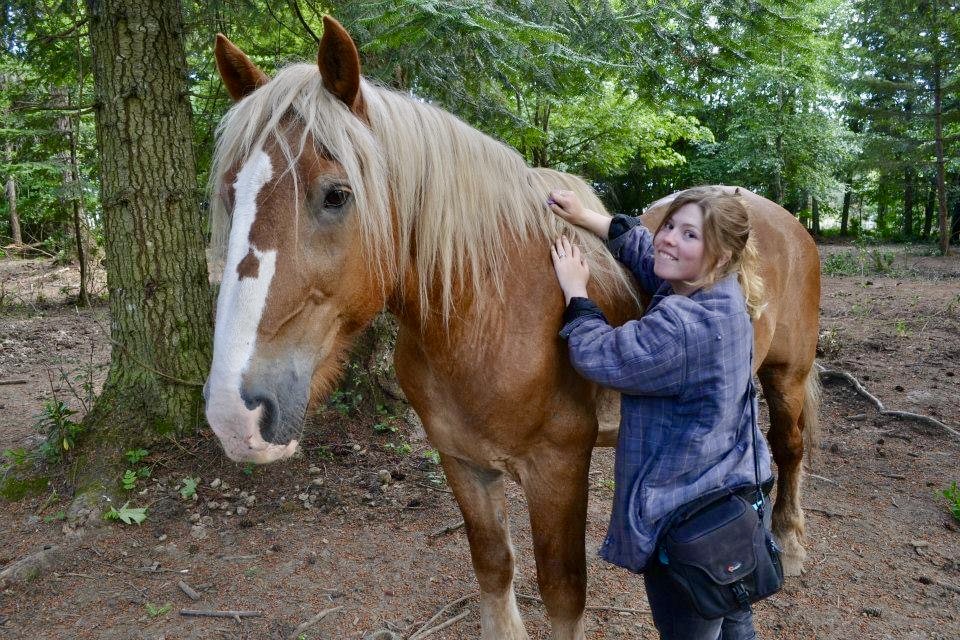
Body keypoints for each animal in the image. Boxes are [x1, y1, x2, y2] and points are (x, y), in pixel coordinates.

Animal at [206, 15, 820, 640]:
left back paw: (790, 546)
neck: (487, 317)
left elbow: (563, 590)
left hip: (787, 374)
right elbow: (494, 564)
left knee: (790, 447)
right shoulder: (463, 462)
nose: (235, 413)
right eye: (229, 193)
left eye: (336, 195)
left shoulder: (557, 469)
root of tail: (784, 219)